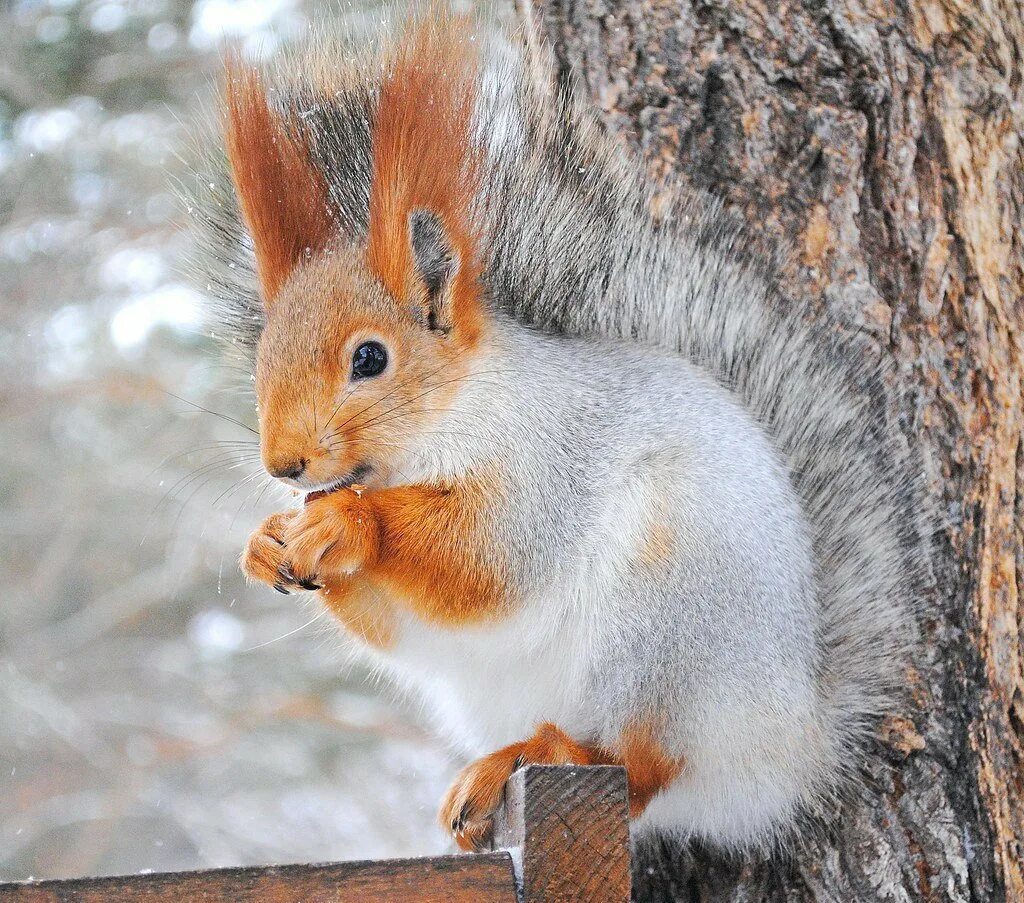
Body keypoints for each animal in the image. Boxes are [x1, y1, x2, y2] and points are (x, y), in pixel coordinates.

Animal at [182, 14, 921, 855]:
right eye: (262, 360)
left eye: (370, 358)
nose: (285, 464)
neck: (443, 424)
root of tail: (787, 750)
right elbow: (391, 618)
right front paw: (265, 540)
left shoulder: (549, 456)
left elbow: (488, 555)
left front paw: (346, 521)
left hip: (667, 628)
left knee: (645, 764)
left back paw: (548, 750)